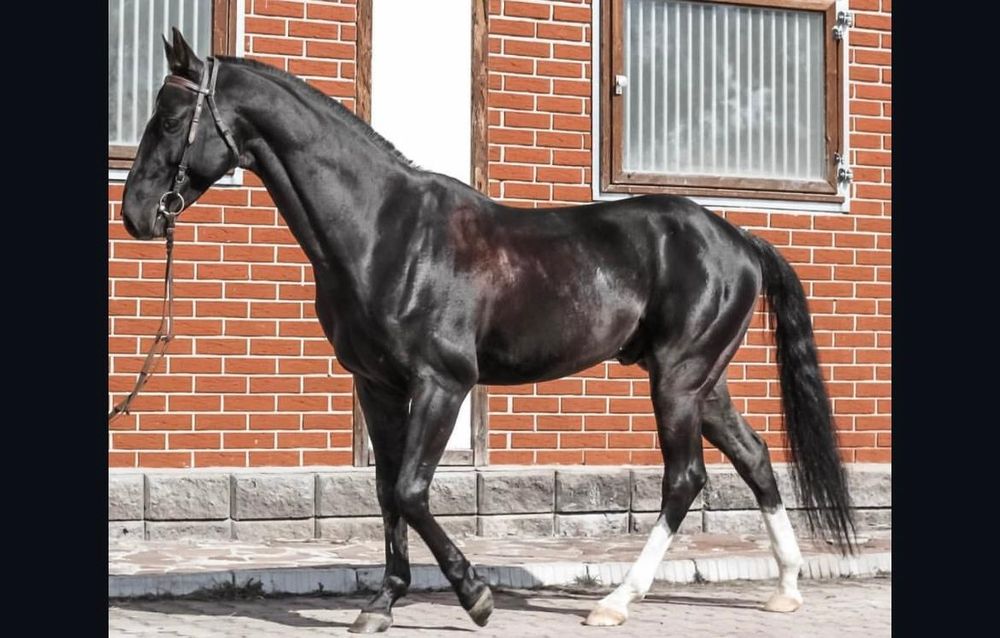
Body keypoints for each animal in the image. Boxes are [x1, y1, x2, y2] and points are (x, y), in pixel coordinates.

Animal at [118, 28, 855, 633]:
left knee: (686, 478)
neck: (385, 229)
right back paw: (786, 589)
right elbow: (386, 490)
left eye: (172, 116)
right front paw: (381, 604)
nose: (136, 214)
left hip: (677, 383)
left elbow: (411, 490)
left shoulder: (443, 383)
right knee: (755, 458)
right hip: (703, 384)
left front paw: (474, 595)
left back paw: (616, 601)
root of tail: (738, 240)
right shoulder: (377, 388)